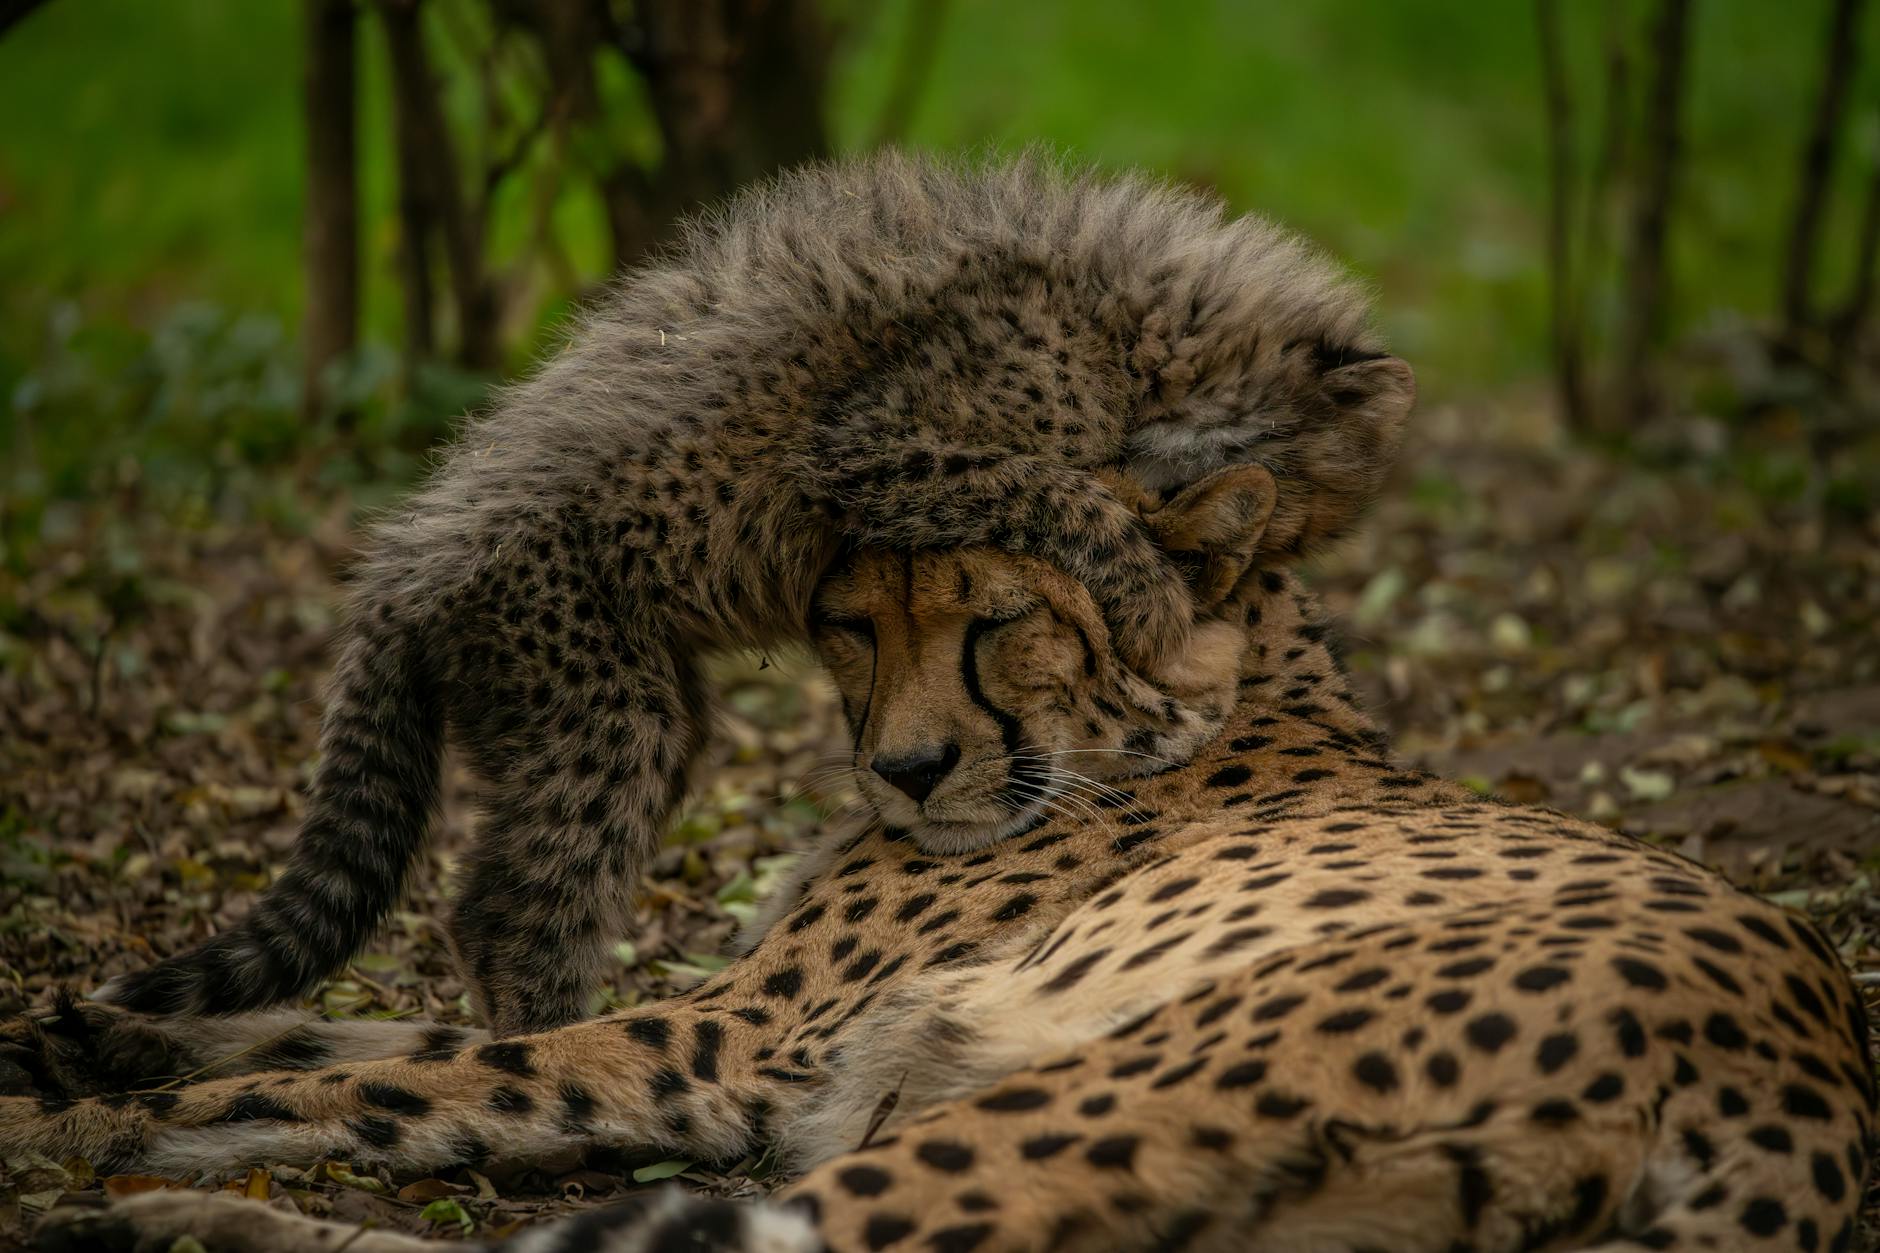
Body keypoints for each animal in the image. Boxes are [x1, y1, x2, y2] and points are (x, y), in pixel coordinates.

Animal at [9, 462, 1873, 1253]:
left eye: (998, 622)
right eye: (848, 618)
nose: (904, 768)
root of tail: (1814, 1050)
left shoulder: (740, 1042)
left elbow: (430, 1068)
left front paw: (88, 1124)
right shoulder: (742, 1028)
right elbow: (377, 1034)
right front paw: (93, 1042)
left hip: (1098, 1088)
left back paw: (152, 1214)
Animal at [94, 149, 1417, 1038]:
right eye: (1297, 514)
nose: (1234, 549)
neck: (1143, 318)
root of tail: (401, 563)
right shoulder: (879, 446)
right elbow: (1057, 498)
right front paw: (1154, 607)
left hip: (646, 706)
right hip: (597, 708)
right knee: (508, 914)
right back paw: (547, 1042)